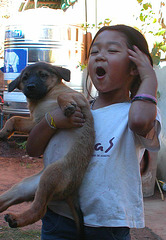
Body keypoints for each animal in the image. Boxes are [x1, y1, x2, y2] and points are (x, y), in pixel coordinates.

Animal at [0, 61, 94, 238]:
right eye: (25, 77)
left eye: (43, 75)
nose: (30, 87)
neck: (43, 98)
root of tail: (70, 193)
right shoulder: (35, 123)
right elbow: (15, 119)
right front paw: (4, 131)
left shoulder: (79, 98)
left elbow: (61, 97)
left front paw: (67, 106)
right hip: (22, 187)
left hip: (52, 174)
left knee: (40, 210)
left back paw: (16, 219)